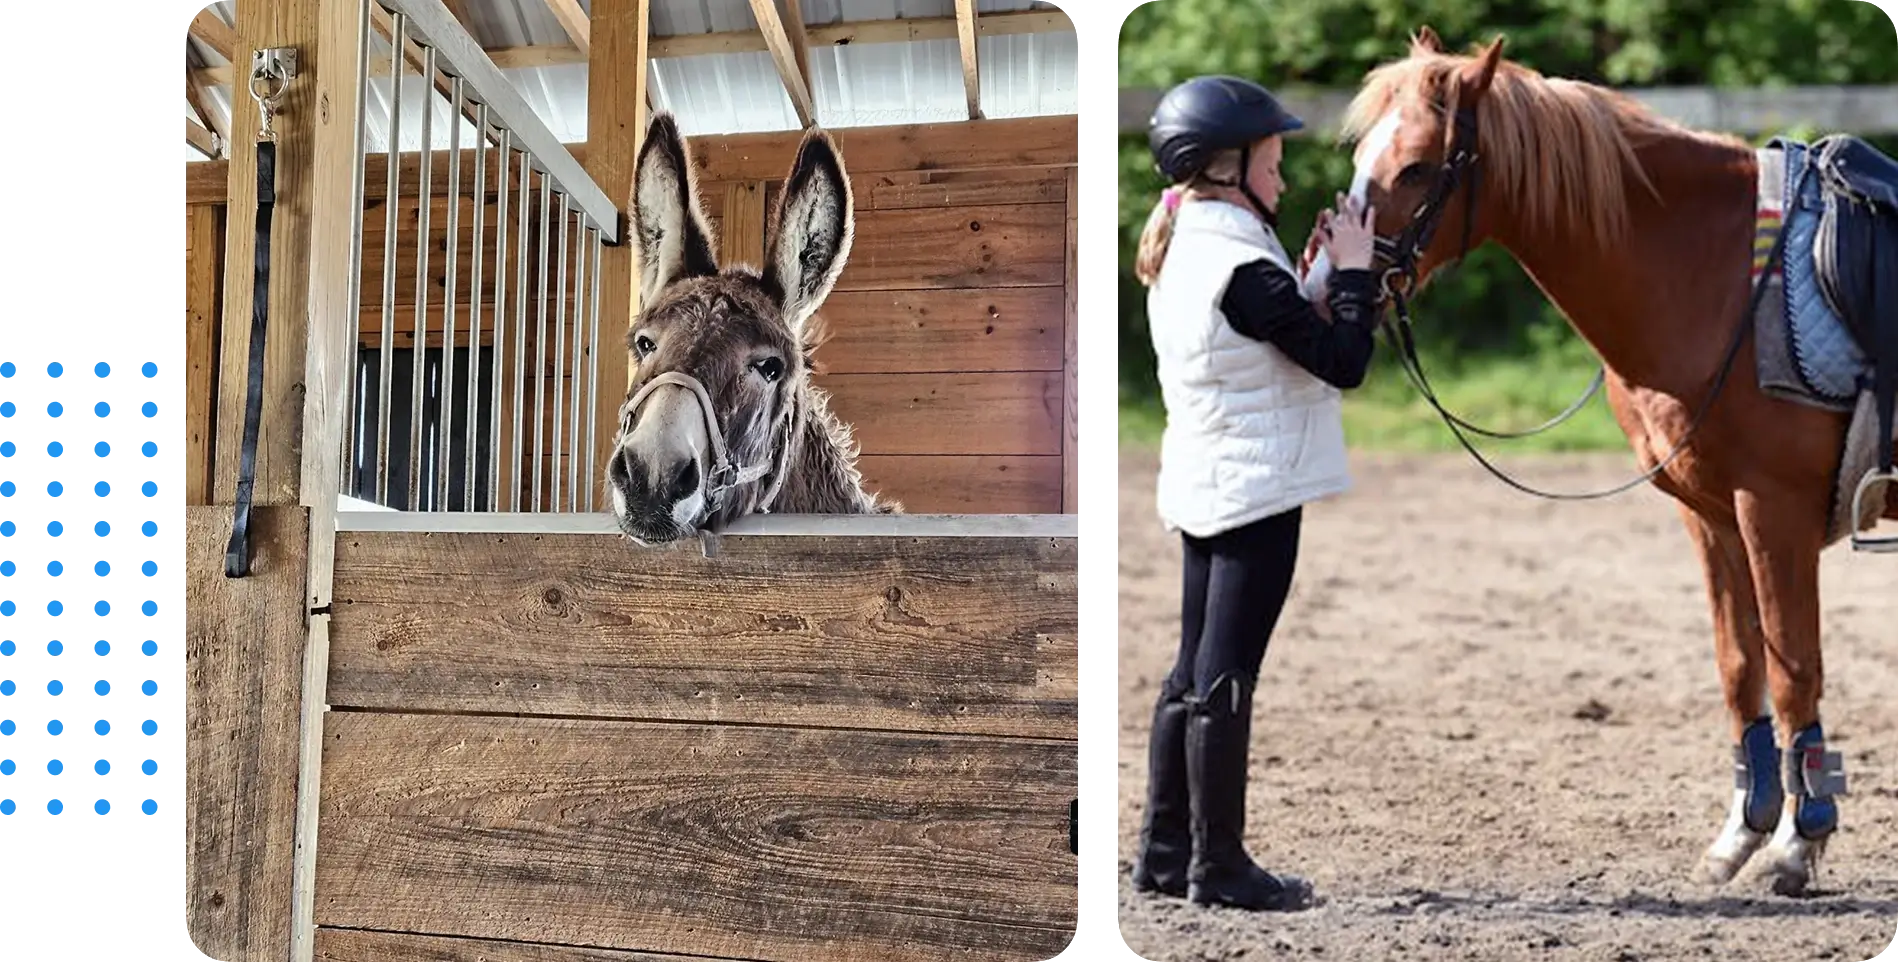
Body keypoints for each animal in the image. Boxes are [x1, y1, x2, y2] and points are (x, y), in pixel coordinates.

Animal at [1321, 28, 1898, 895]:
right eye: (1363, 153)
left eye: (1418, 166)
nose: (1324, 283)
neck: (1716, 278)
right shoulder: (1710, 515)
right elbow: (1741, 666)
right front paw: (1743, 831)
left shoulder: (1775, 513)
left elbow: (1796, 667)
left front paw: (1799, 844)